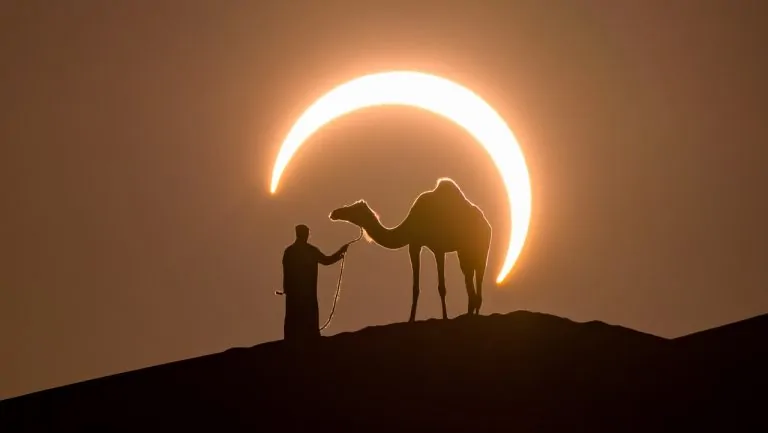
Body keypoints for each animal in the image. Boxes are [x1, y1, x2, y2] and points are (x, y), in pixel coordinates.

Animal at [328, 176, 488, 320]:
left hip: (482, 247)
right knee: (469, 278)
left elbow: (441, 287)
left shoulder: (438, 248)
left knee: (478, 277)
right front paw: (411, 319)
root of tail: (486, 224)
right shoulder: (414, 244)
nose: (334, 213)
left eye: (354, 208)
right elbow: (415, 288)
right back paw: (470, 313)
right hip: (464, 250)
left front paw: (444, 318)